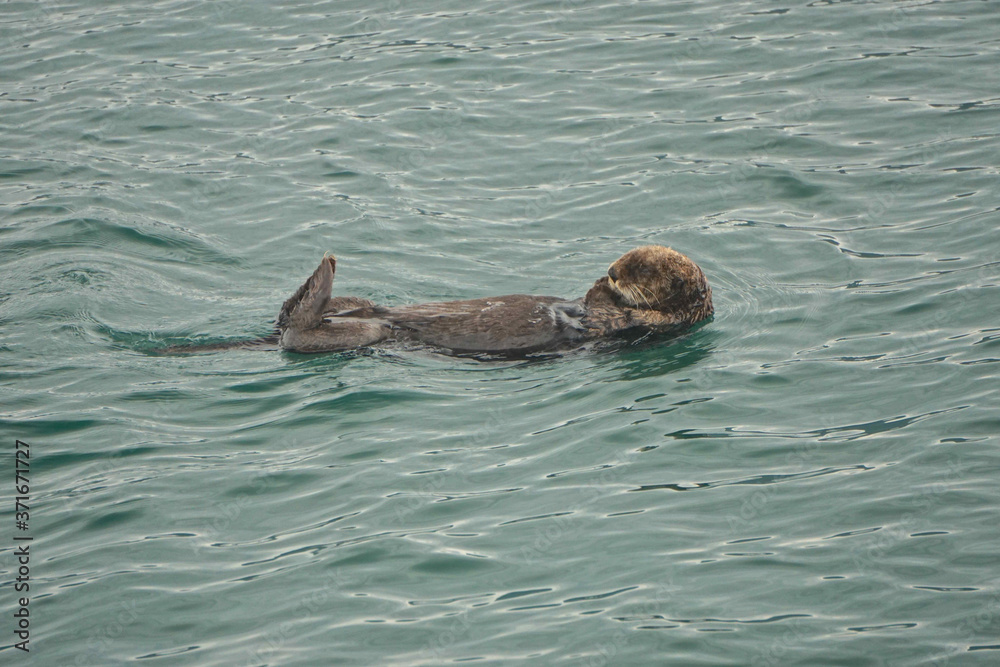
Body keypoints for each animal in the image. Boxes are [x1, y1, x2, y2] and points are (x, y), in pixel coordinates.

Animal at [272, 245, 713, 357]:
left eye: (640, 268)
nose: (612, 270)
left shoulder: (642, 323)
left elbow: (606, 311)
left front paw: (601, 287)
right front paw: (597, 282)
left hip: (363, 334)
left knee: (299, 332)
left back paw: (324, 271)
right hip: (360, 307)